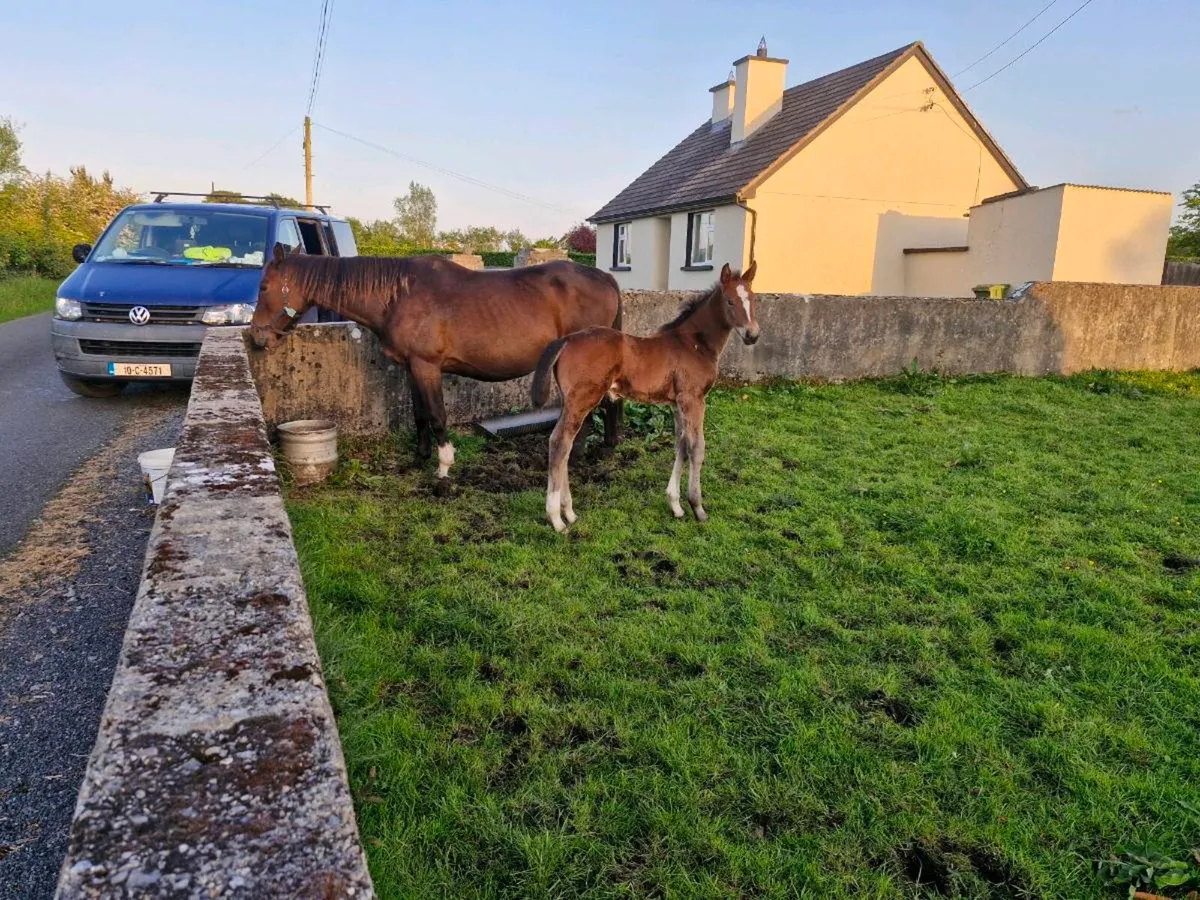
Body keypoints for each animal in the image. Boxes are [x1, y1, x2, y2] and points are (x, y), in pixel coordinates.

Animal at [248, 245, 624, 478]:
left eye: (264, 287)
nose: (256, 337)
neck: (398, 295)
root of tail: (606, 278)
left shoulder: (426, 367)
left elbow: (438, 416)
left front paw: (444, 466)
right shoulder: (411, 367)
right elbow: (420, 415)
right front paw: (420, 457)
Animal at [530, 262, 759, 532]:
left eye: (753, 299)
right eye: (730, 301)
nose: (752, 335)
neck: (693, 343)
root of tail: (566, 340)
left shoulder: (677, 403)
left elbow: (681, 444)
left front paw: (676, 505)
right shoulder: (694, 399)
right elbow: (697, 447)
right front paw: (698, 508)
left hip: (572, 401)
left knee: (564, 445)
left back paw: (569, 512)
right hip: (582, 400)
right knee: (560, 443)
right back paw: (557, 519)